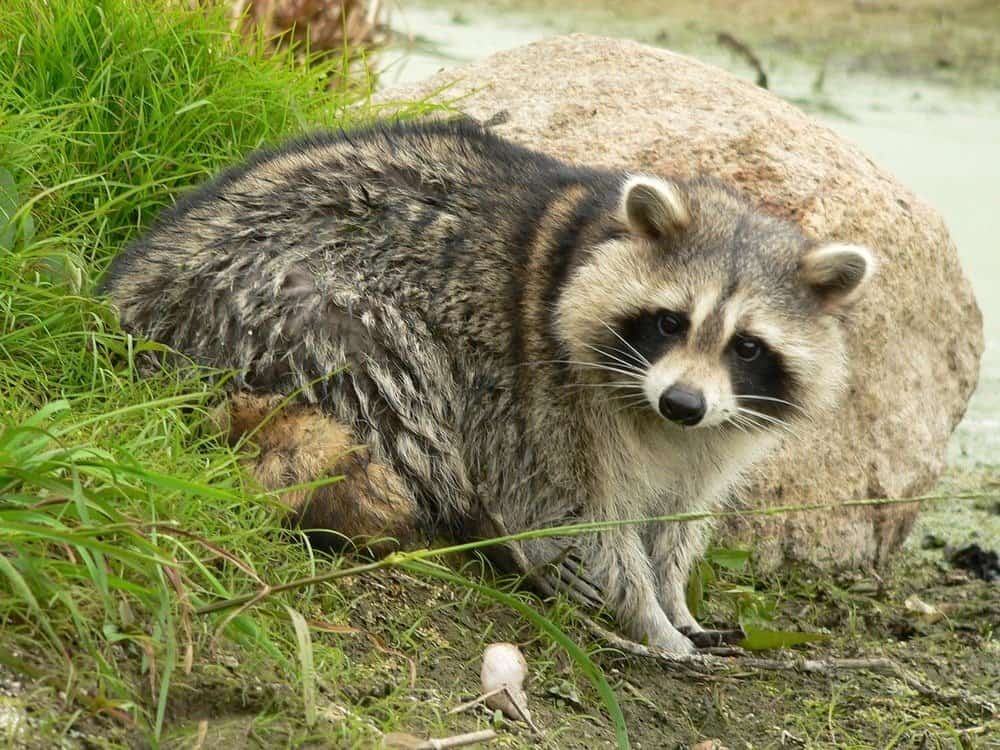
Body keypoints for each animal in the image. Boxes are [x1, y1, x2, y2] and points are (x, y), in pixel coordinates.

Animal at [97, 120, 872, 656]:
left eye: (748, 346)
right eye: (668, 321)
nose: (682, 404)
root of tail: (132, 298)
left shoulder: (718, 428)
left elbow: (678, 515)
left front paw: (675, 598)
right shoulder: (550, 396)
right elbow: (583, 516)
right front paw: (648, 617)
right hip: (288, 304)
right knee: (397, 388)